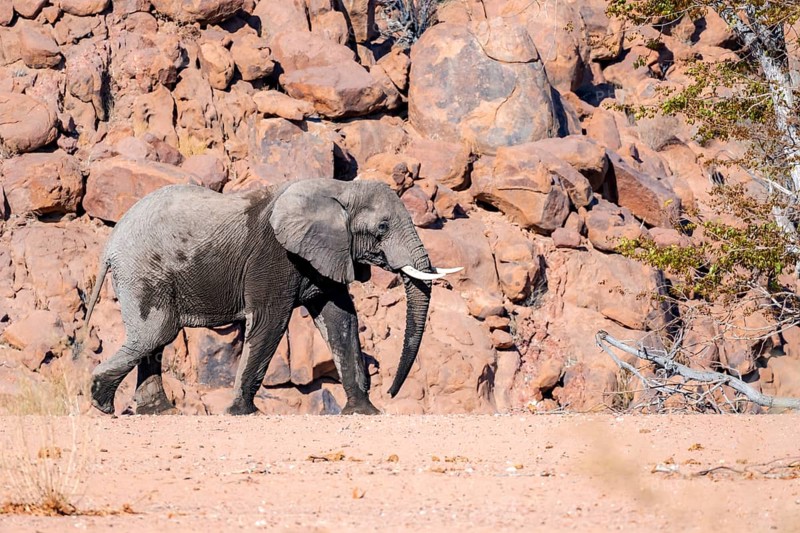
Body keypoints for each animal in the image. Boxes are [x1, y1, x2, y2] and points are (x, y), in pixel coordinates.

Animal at [82, 178, 461, 416]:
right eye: (382, 227)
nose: (390, 392)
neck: (338, 188)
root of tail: (110, 244)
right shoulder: (274, 256)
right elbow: (270, 321)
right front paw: (241, 412)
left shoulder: (325, 255)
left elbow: (340, 319)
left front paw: (364, 412)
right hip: (143, 270)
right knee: (157, 333)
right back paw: (101, 401)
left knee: (155, 341)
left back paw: (158, 412)